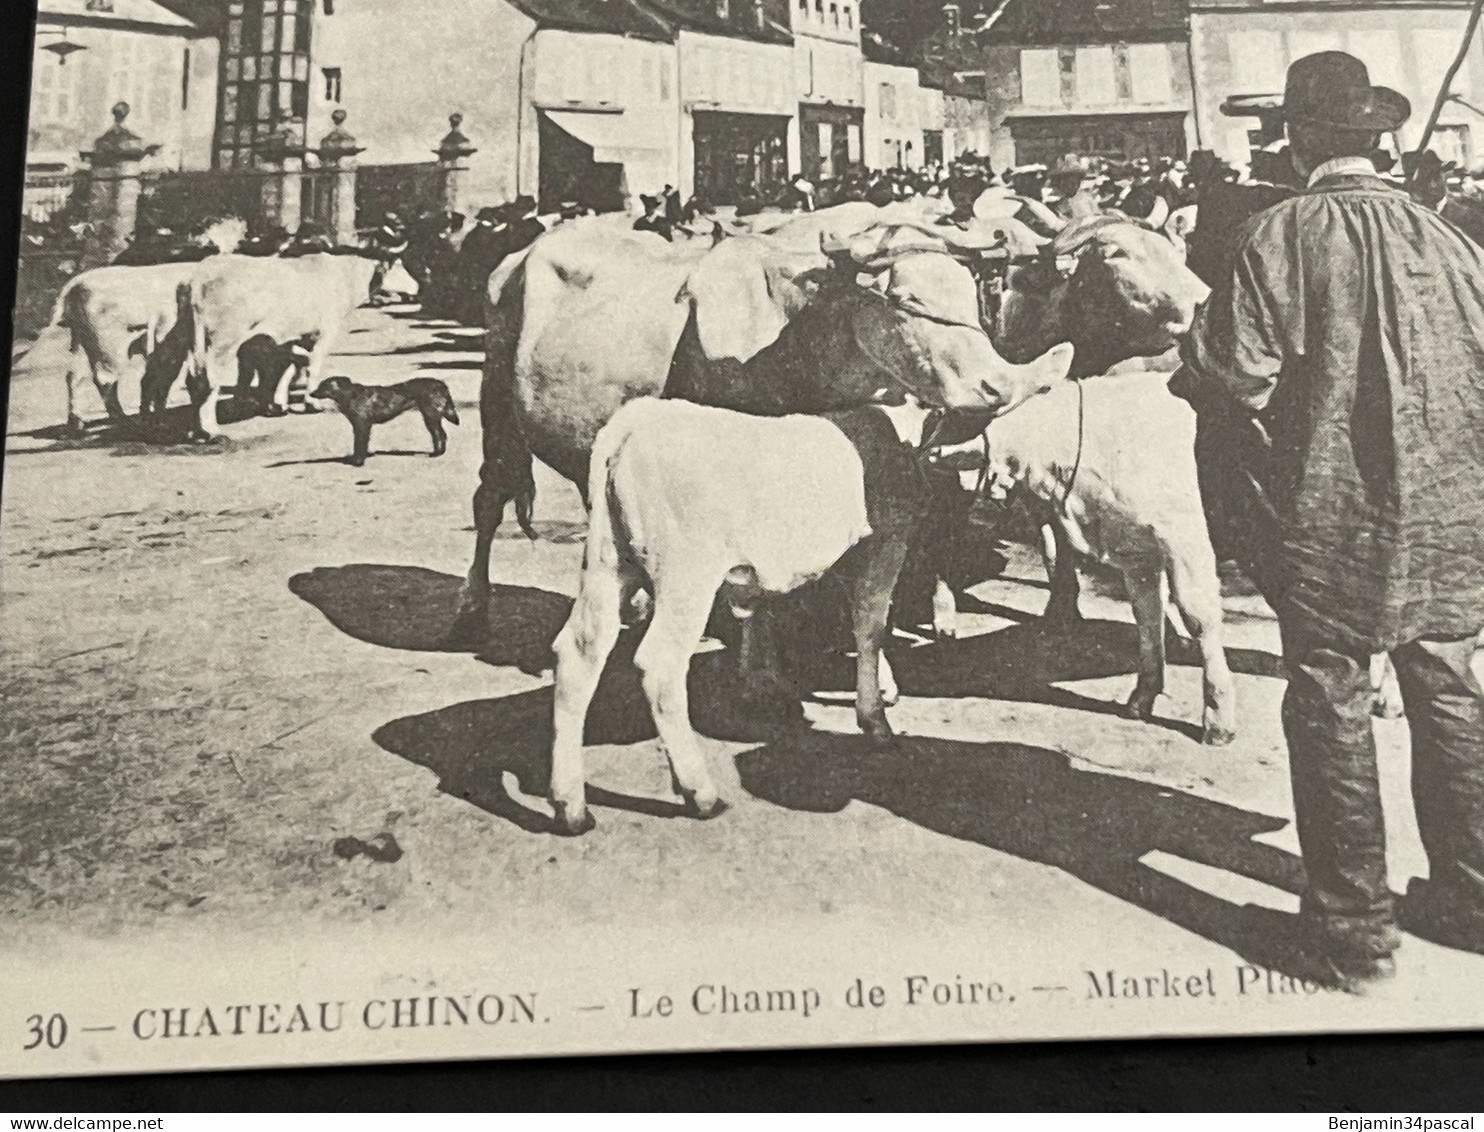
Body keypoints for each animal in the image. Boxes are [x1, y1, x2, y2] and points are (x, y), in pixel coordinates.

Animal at [307, 376, 457, 465]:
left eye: (324, 386)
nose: (311, 393)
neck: (349, 394)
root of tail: (441, 384)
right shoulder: (359, 426)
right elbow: (360, 444)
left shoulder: (362, 425)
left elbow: (360, 443)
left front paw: (358, 461)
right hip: (431, 417)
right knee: (438, 435)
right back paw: (437, 453)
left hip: (430, 416)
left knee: (439, 434)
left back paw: (437, 454)